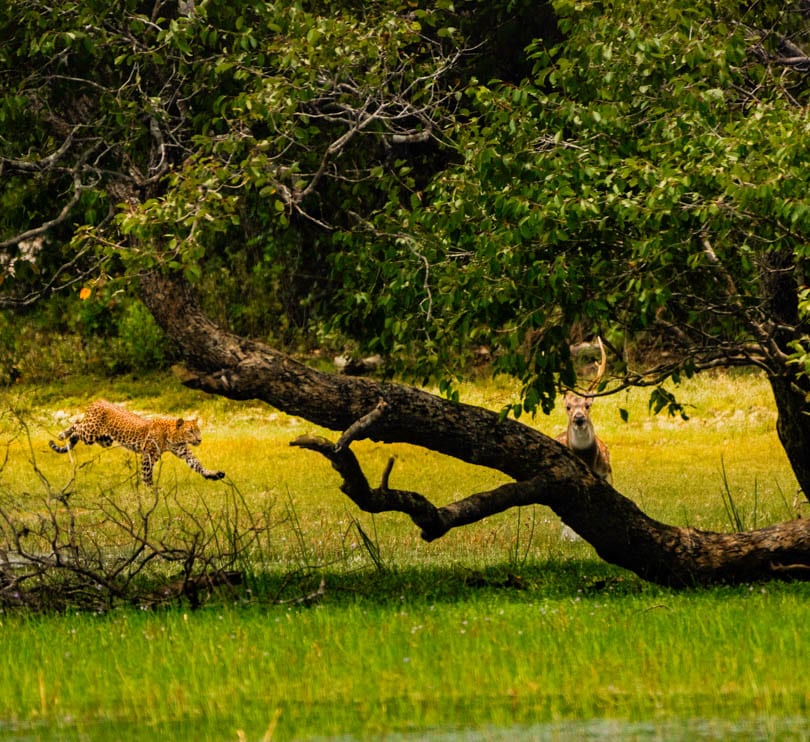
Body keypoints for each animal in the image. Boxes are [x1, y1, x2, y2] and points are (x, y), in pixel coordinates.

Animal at [49, 399, 225, 486]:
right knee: (77, 424)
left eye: (198, 430)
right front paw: (150, 490)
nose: (199, 439)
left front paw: (213, 474)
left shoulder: (184, 452)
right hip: (90, 433)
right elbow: (147, 474)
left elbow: (197, 464)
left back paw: (69, 440)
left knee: (78, 430)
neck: (173, 438)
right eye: (190, 431)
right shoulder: (148, 455)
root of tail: (98, 400)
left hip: (104, 439)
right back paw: (62, 434)